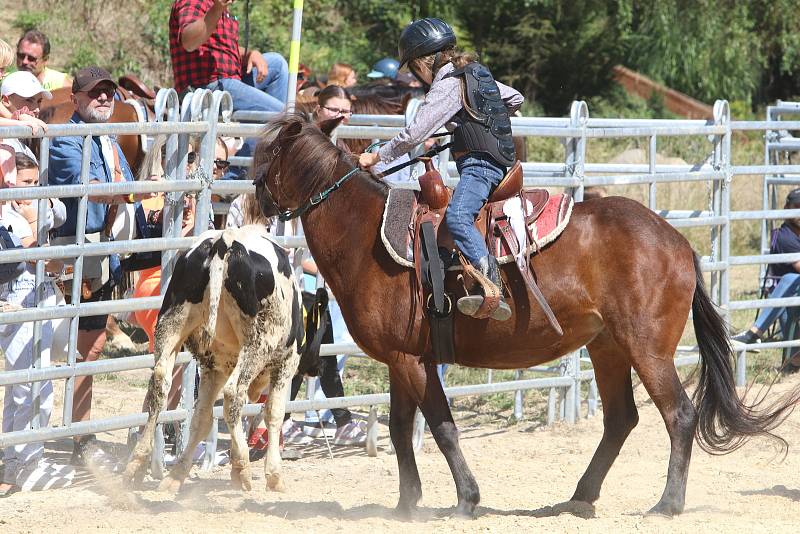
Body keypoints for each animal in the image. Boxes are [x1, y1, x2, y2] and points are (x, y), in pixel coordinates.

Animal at [125, 225, 306, 494]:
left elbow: (201, 418)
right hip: (257, 344)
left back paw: (136, 464)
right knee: (233, 394)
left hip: (170, 325)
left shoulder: (214, 367)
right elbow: (274, 413)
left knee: (159, 386)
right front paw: (274, 476)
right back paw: (242, 468)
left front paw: (177, 475)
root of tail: (225, 242)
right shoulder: (286, 362)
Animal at [253, 115, 796, 520]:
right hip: (608, 347)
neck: (366, 234)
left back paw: (667, 503)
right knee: (621, 419)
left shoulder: (412, 363)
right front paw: (407, 505)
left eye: (266, 153)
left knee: (678, 415)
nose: (253, 200)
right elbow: (401, 430)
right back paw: (579, 497)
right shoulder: (402, 360)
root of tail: (678, 242)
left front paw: (466, 500)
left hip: (648, 350)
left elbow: (442, 428)